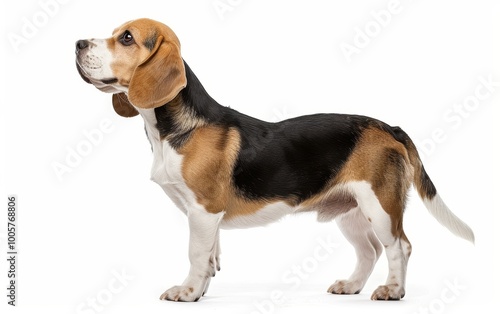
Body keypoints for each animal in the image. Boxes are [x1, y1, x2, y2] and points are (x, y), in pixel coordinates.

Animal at [75, 17, 476, 302]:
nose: (78, 42)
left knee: (399, 246)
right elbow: (210, 258)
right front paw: (201, 291)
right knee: (371, 250)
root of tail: (388, 126)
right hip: (351, 211)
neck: (169, 129)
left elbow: (196, 254)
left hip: (380, 204)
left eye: (127, 38)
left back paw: (393, 290)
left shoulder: (203, 210)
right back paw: (351, 286)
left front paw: (186, 292)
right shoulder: (206, 217)